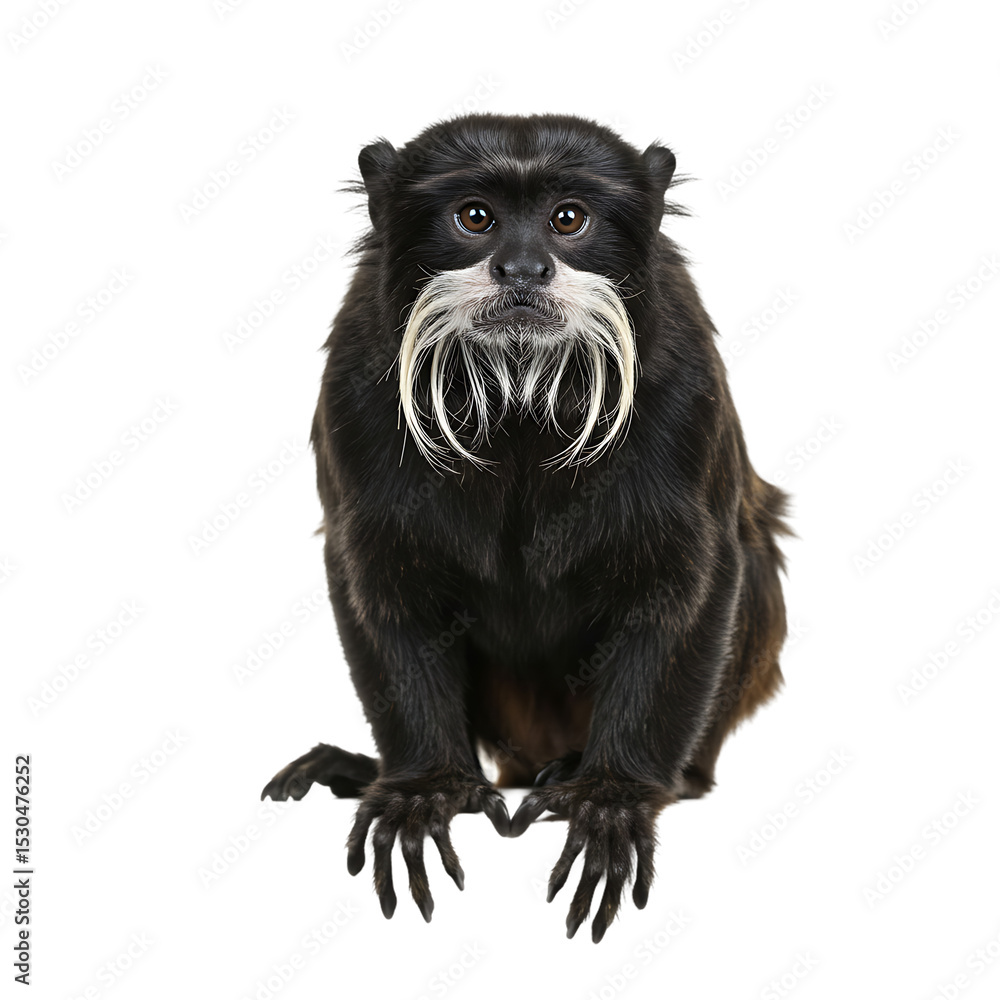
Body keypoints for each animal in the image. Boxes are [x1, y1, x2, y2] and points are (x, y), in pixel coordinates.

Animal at [261, 113, 791, 943]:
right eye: (474, 218)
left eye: (567, 219)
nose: (522, 269)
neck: (517, 390)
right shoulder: (357, 383)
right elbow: (382, 585)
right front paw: (422, 788)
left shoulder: (685, 382)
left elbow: (695, 579)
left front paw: (611, 797)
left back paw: (579, 770)